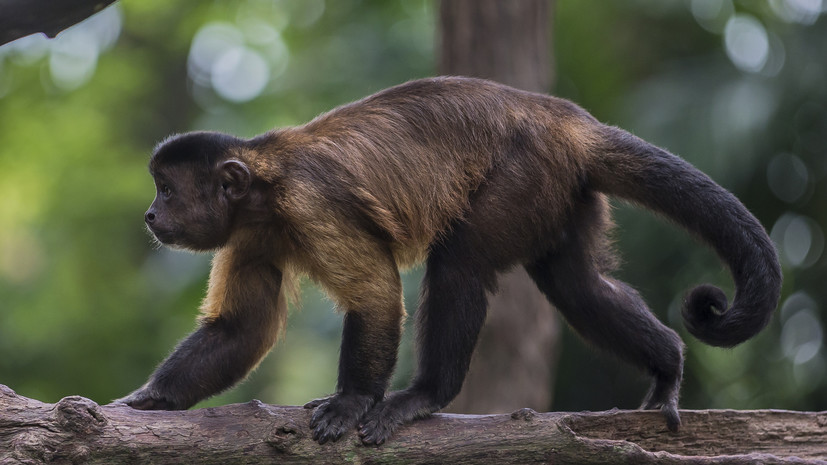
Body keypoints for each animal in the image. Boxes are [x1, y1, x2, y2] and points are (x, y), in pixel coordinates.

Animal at [116, 77, 784, 446]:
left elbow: (376, 294)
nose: (149, 215)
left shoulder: (311, 203)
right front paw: (148, 401)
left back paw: (426, 394)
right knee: (577, 285)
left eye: (167, 191)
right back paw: (667, 363)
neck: (261, 190)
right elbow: (241, 328)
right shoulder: (249, 234)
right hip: (558, 190)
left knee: (461, 262)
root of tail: (567, 120)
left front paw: (353, 402)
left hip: (525, 169)